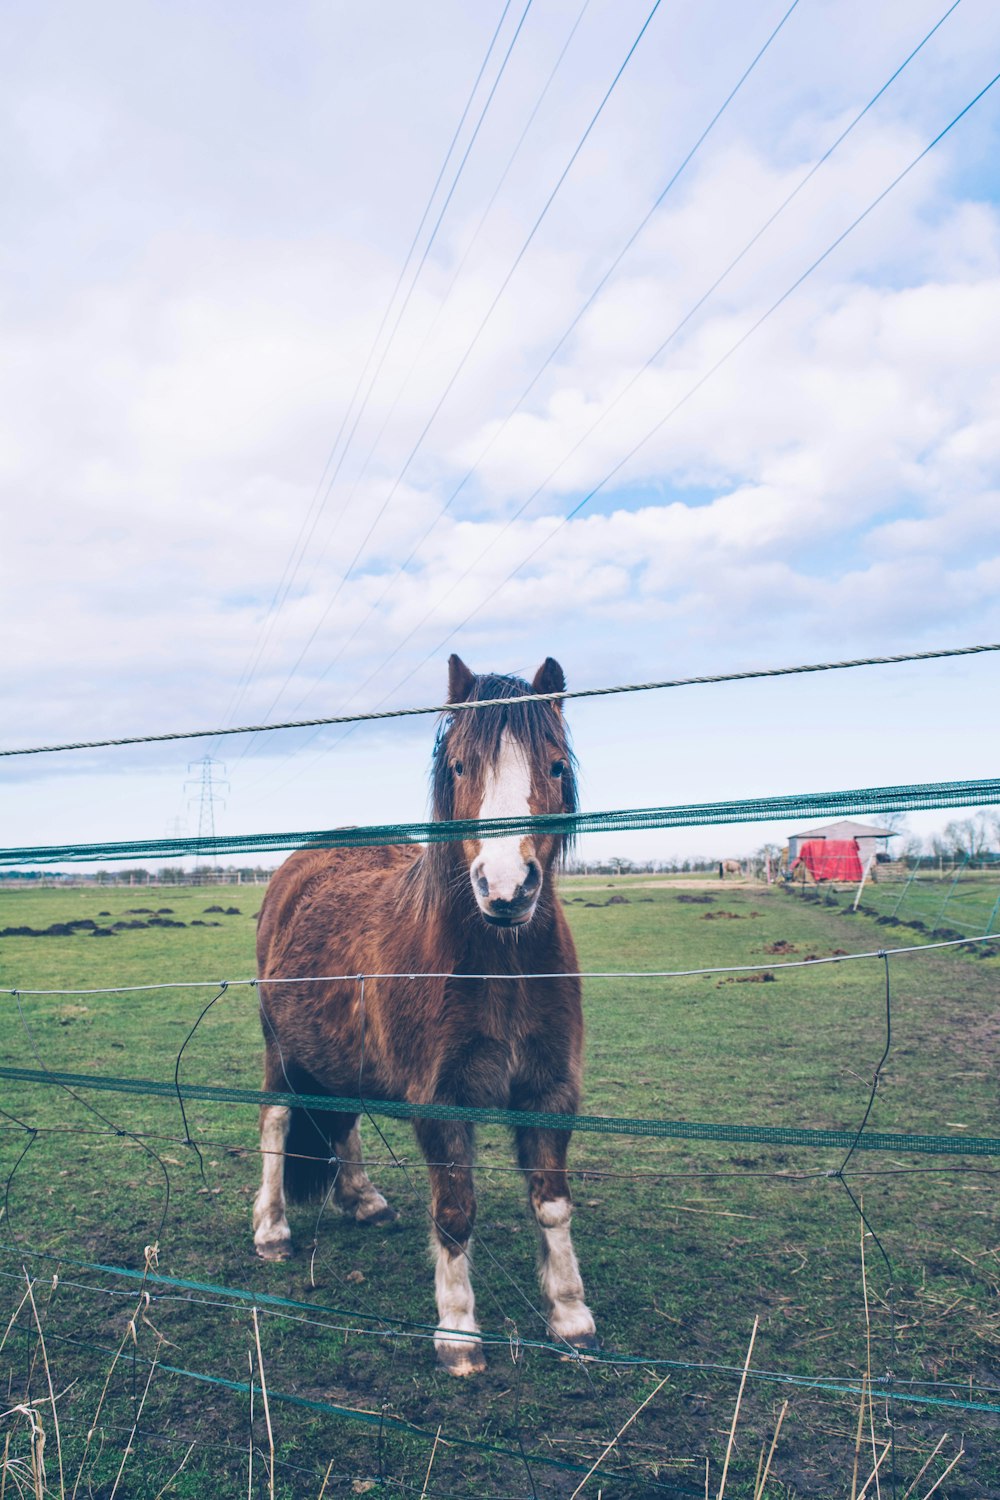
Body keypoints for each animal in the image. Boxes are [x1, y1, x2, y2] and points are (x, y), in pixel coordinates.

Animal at [251, 651, 593, 1374]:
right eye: (460, 766)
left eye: (554, 766)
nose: (505, 888)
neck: (501, 965)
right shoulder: (440, 1100)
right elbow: (455, 1211)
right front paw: (458, 1334)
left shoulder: (550, 1091)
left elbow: (552, 1205)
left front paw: (572, 1317)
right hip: (281, 1047)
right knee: (276, 1120)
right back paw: (271, 1230)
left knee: (342, 1114)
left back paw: (363, 1200)